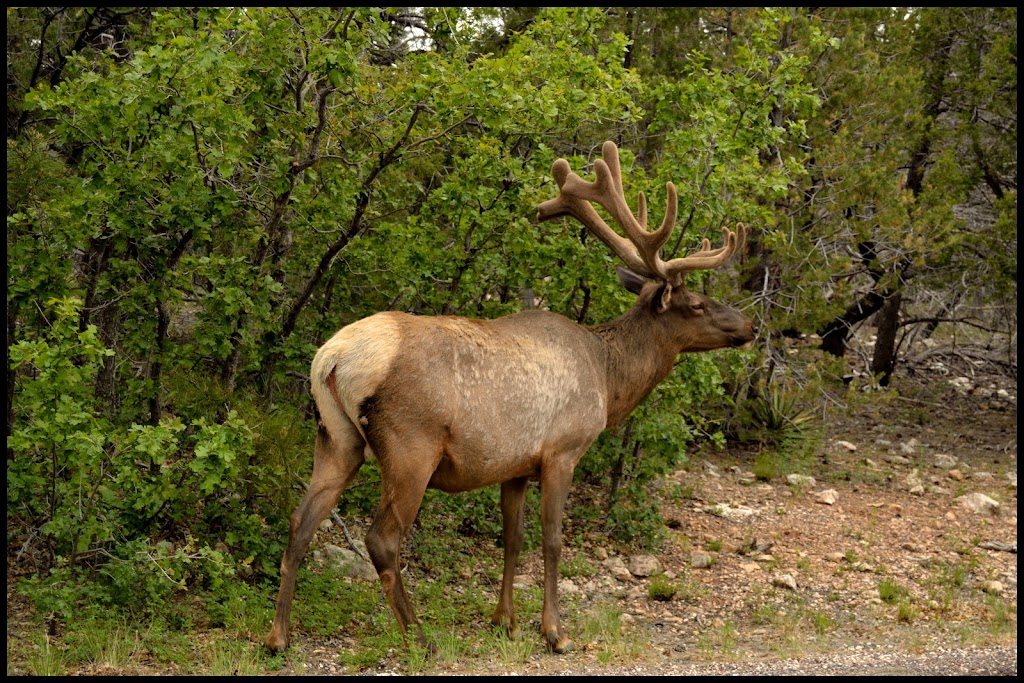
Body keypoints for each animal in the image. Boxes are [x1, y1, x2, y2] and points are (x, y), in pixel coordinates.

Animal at [268, 140, 757, 655]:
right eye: (697, 304)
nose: (748, 326)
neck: (608, 378)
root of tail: (333, 357)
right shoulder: (562, 450)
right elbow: (552, 539)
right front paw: (554, 632)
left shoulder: (515, 465)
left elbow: (512, 537)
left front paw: (505, 621)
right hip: (410, 445)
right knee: (381, 538)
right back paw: (420, 637)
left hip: (335, 436)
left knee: (300, 522)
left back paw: (278, 636)